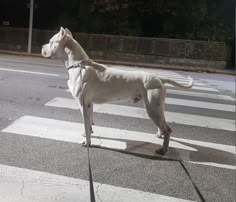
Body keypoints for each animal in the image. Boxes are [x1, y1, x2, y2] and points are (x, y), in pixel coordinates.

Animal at [42, 27, 194, 155]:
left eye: (50, 41)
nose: (42, 46)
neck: (78, 64)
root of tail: (160, 78)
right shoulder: (89, 105)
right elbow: (89, 122)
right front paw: (88, 134)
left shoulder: (83, 104)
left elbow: (85, 123)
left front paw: (87, 142)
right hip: (157, 107)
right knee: (164, 125)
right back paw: (159, 135)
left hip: (153, 108)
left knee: (168, 129)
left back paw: (163, 149)